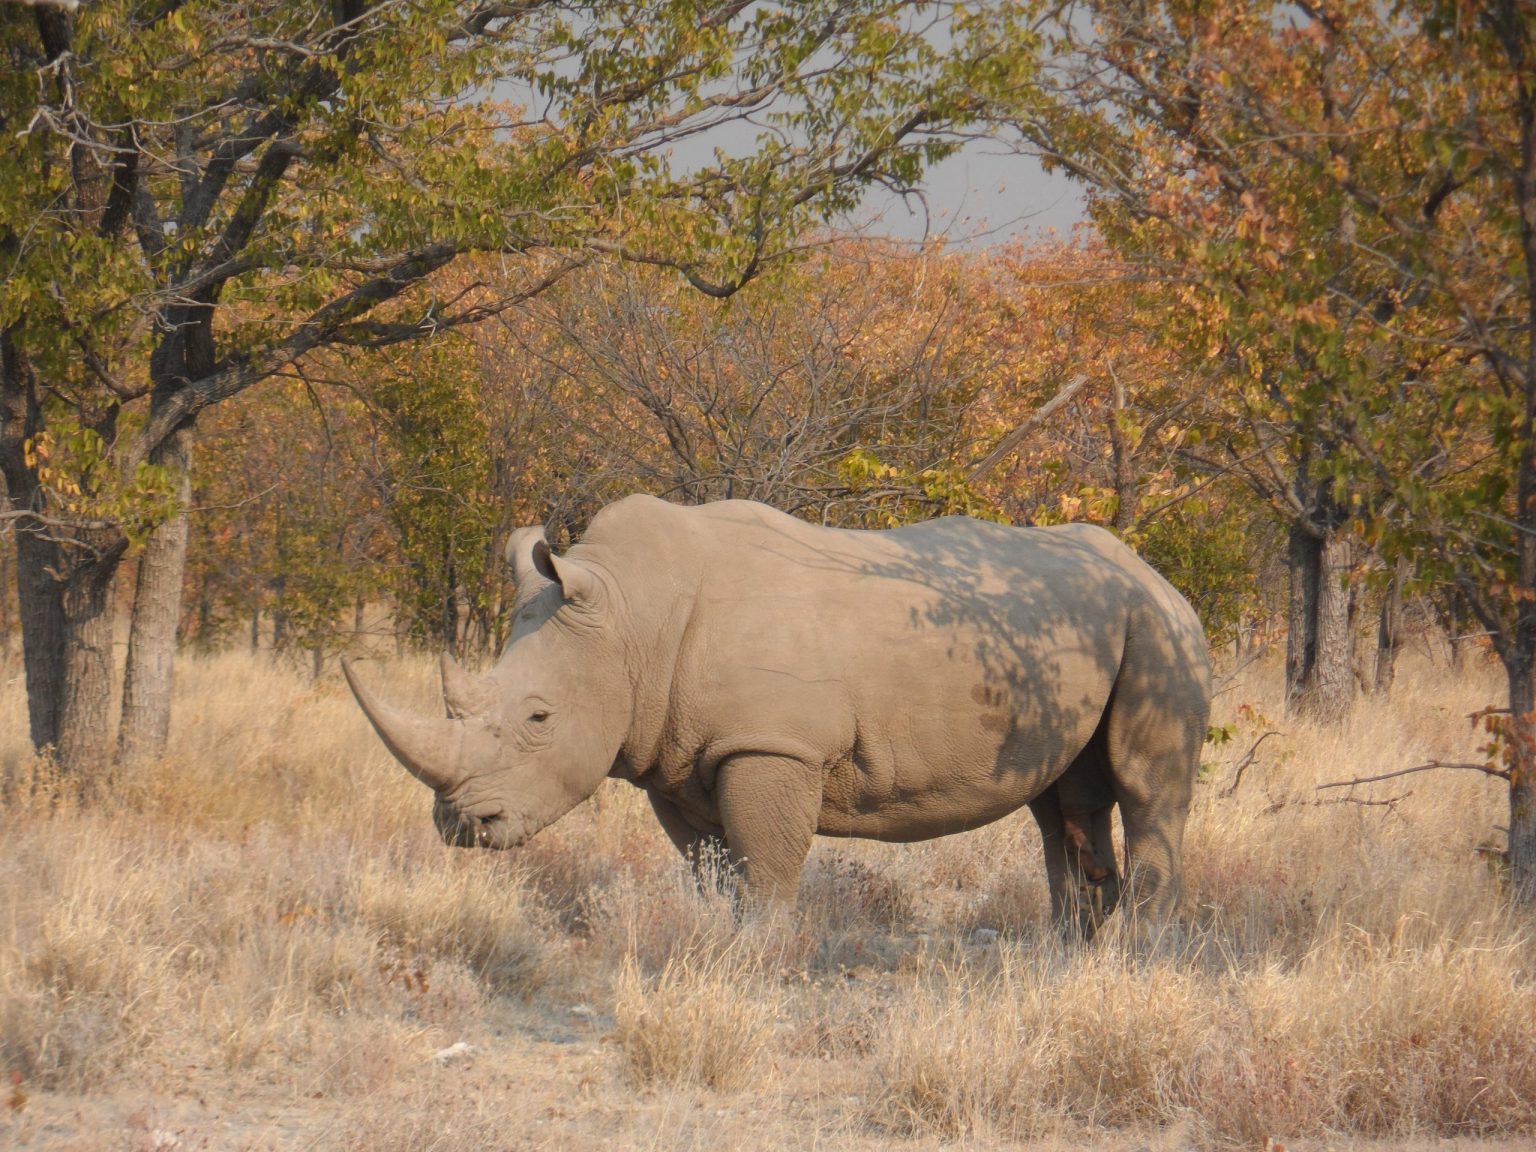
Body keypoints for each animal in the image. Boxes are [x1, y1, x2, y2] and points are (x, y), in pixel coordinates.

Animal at [344, 495, 1211, 936]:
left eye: (537, 718)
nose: (462, 825)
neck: (630, 616)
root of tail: (1162, 577)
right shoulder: (676, 757)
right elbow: (713, 868)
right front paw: (722, 950)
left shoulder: (770, 745)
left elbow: (763, 864)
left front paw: (759, 962)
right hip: (1080, 630)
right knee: (1063, 803)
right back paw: (1071, 951)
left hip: (1159, 629)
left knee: (1145, 790)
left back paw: (1137, 953)